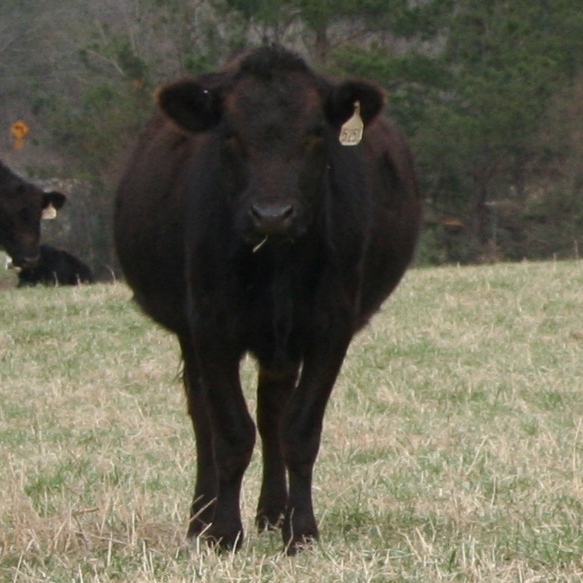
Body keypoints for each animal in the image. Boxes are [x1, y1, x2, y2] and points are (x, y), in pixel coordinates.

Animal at [115, 45, 424, 556]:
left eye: (317, 133)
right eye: (230, 135)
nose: (272, 214)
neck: (277, 259)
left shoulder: (331, 327)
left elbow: (299, 430)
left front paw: (301, 531)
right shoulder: (211, 325)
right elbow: (230, 433)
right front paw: (223, 533)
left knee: (272, 410)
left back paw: (274, 512)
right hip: (192, 332)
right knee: (203, 416)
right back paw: (200, 520)